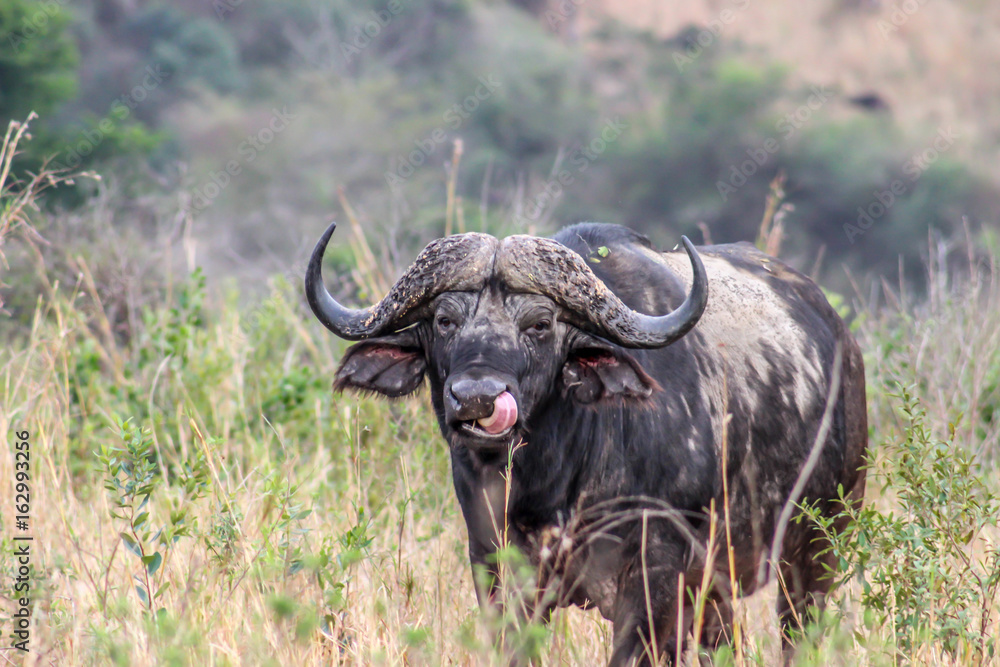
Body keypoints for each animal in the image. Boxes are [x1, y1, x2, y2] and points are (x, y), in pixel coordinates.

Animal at [304, 223, 868, 664]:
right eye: (445, 321)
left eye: (540, 324)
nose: (476, 398)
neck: (555, 480)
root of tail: (843, 344)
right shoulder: (494, 567)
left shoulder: (655, 579)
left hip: (816, 551)